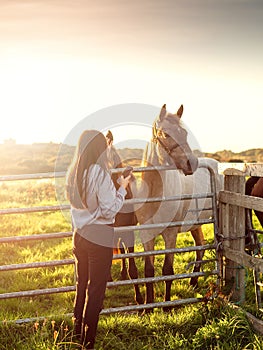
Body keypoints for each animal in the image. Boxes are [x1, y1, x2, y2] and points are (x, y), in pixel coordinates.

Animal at [131, 103, 224, 308]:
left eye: (185, 133)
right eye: (165, 134)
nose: (192, 163)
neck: (155, 194)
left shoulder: (170, 234)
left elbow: (167, 270)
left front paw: (166, 306)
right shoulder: (147, 234)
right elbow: (149, 271)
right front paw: (148, 306)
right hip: (196, 224)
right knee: (200, 246)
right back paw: (193, 281)